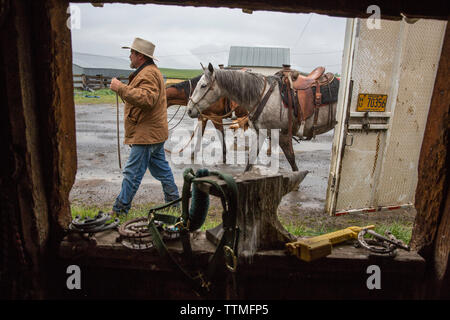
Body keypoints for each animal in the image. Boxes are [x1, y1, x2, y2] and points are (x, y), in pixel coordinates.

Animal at [186, 63, 338, 172]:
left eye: (203, 85)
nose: (189, 110)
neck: (263, 95)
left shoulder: (282, 135)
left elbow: (291, 159)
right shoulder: (261, 133)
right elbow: (251, 160)